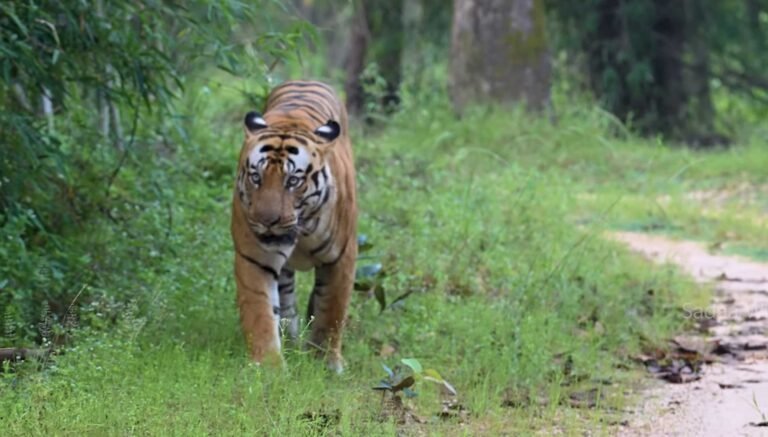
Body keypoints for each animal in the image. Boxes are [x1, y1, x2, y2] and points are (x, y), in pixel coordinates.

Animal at [230, 80, 357, 373]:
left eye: (292, 181)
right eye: (256, 177)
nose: (267, 220)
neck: (301, 225)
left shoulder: (341, 258)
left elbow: (332, 311)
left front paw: (326, 362)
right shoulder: (254, 257)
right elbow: (260, 310)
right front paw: (269, 367)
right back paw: (289, 337)